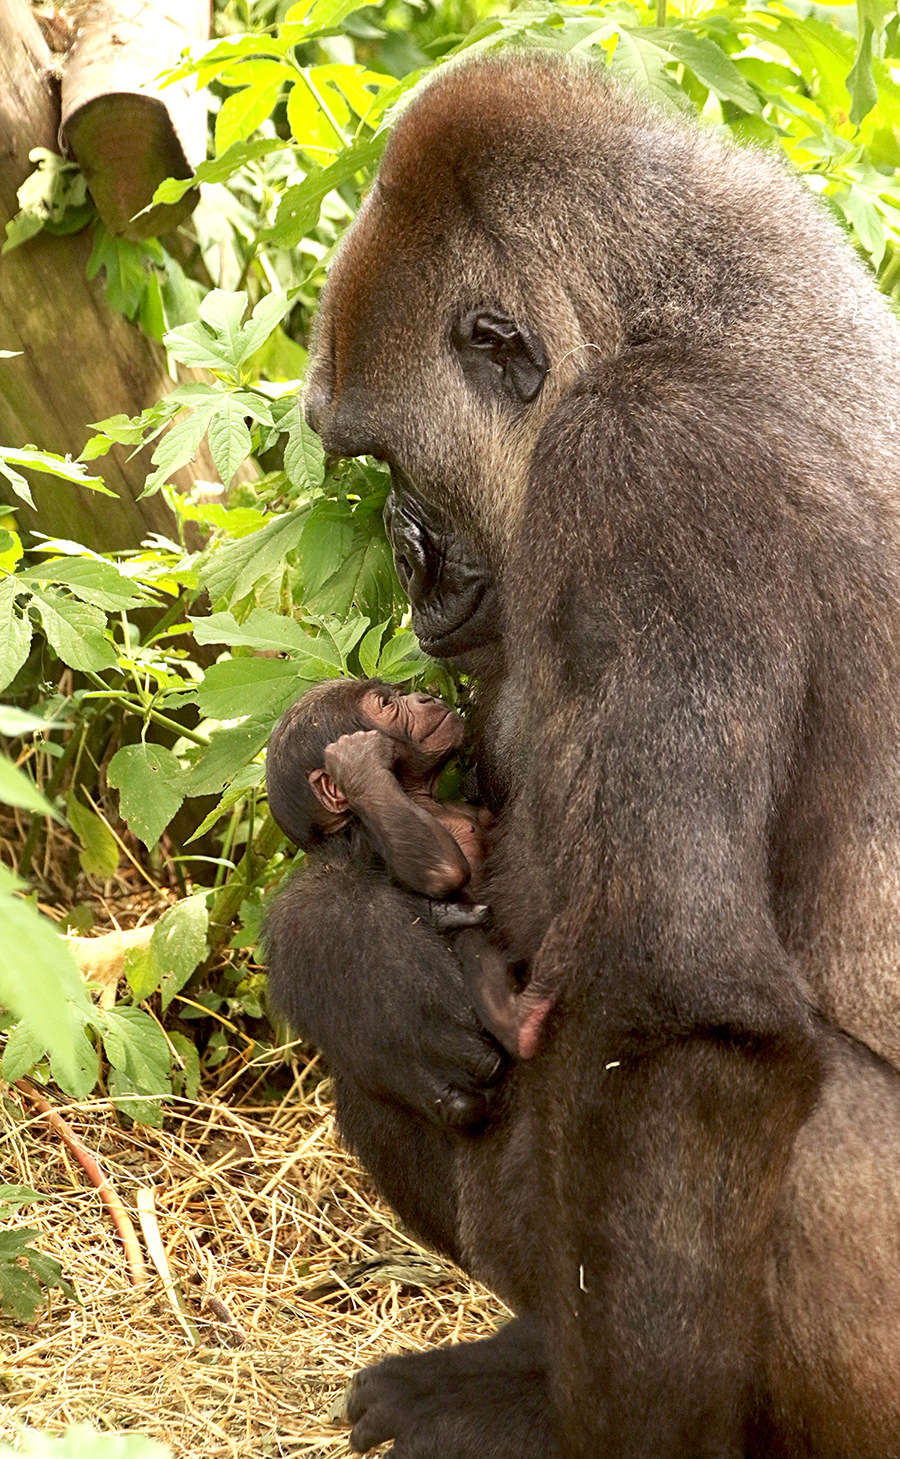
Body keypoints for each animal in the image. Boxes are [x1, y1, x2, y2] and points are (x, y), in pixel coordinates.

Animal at [293, 47, 900, 1457]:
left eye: (386, 458)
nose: (400, 554)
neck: (662, 325)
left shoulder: (648, 467)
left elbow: (678, 1024)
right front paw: (346, 951)